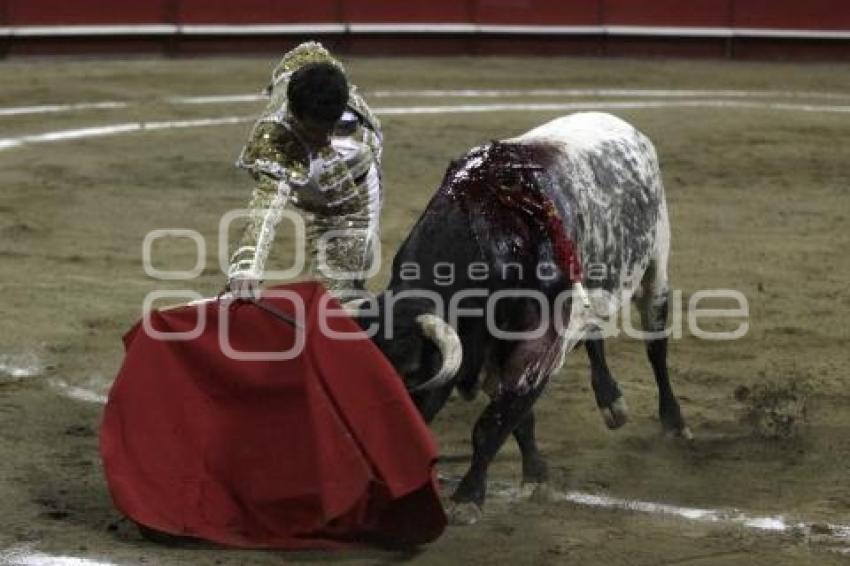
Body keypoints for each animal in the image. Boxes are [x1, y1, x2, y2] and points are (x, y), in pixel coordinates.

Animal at [352, 112, 688, 528]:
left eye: (412, 373)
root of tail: (623, 125)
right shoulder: (497, 352)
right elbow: (518, 418)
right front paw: (536, 475)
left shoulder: (538, 346)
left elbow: (492, 424)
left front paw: (467, 498)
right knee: (593, 334)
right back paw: (611, 400)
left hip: (655, 268)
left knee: (656, 347)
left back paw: (673, 422)